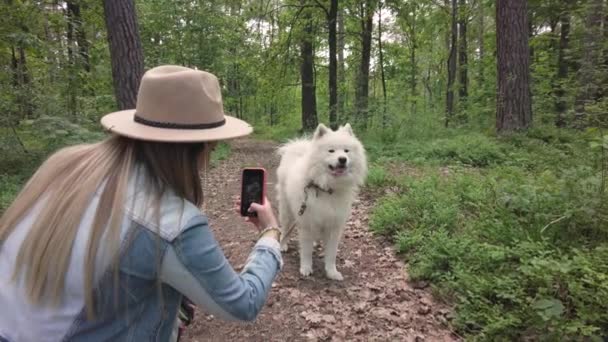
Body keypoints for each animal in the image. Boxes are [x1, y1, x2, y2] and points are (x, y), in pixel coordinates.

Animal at [274, 123, 366, 280]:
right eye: (331, 151)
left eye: (346, 151)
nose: (342, 159)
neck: (326, 188)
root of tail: (296, 148)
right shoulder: (307, 224)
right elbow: (306, 251)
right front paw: (306, 268)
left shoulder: (334, 226)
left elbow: (331, 254)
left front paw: (332, 272)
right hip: (287, 210)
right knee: (285, 228)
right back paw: (282, 245)